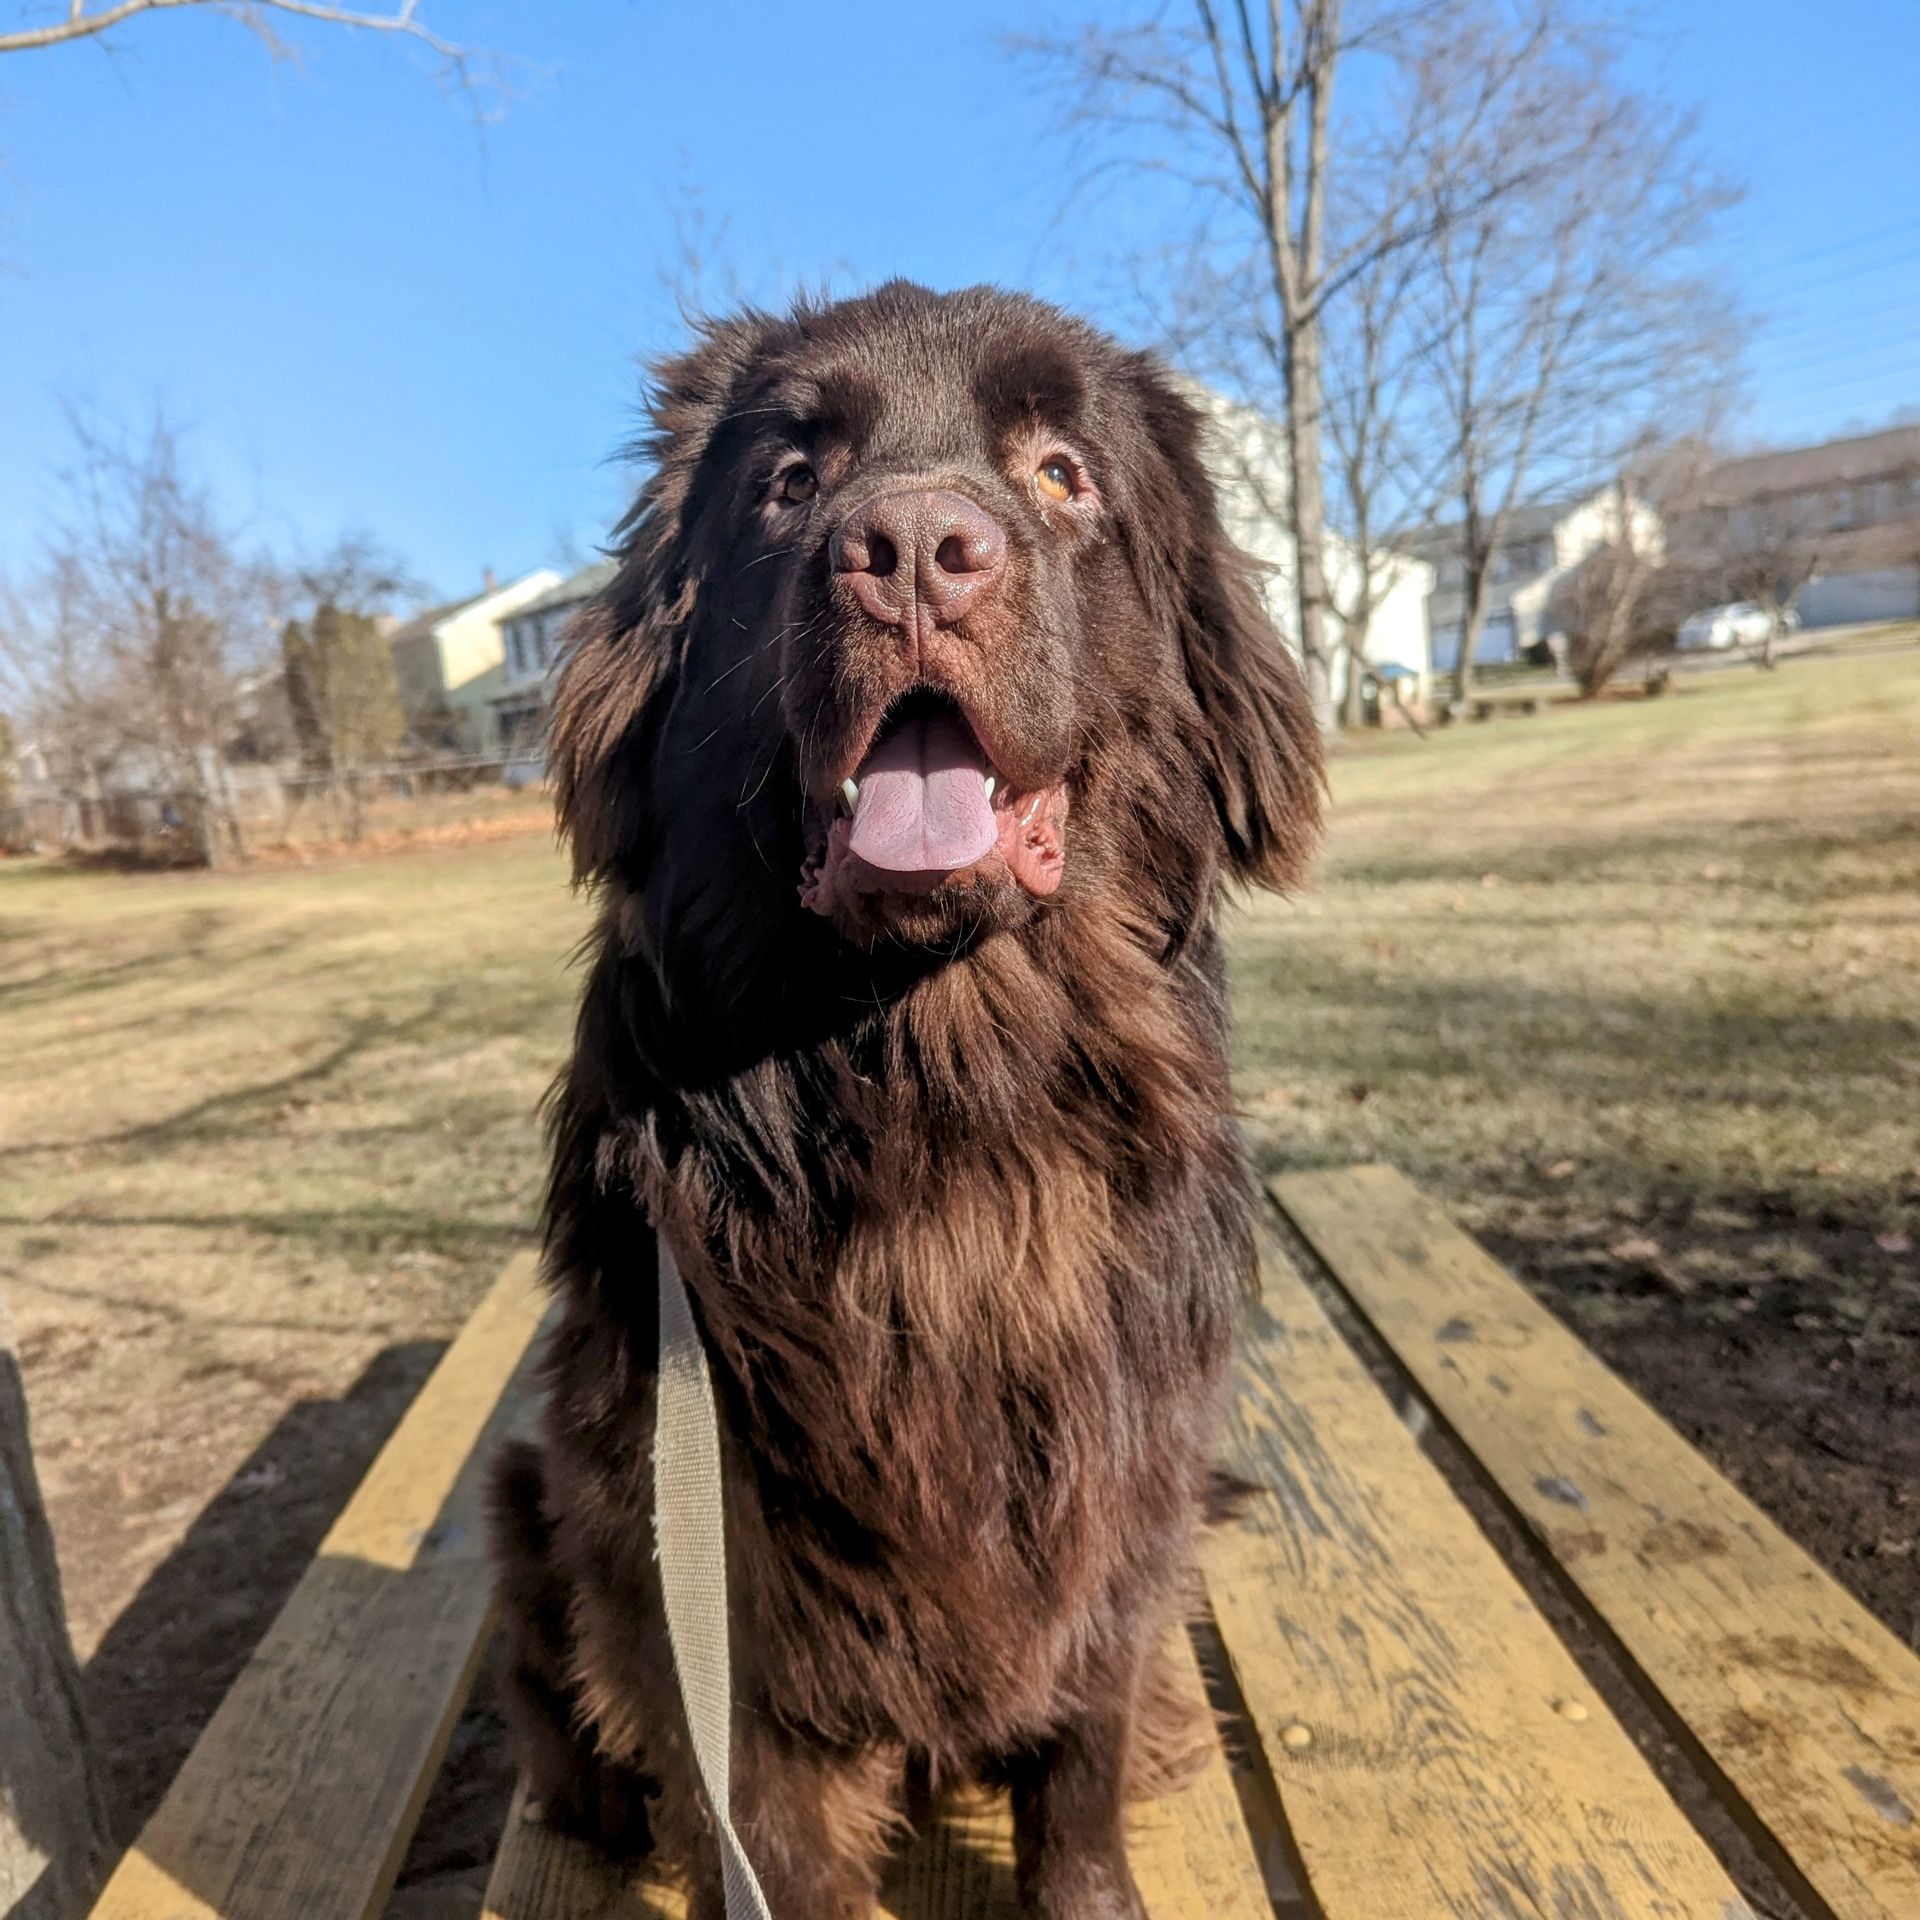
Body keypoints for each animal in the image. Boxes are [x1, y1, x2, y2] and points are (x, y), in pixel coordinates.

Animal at [491, 278, 1320, 1912]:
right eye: (788, 481)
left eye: (1063, 473)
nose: (917, 549)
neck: (944, 1102)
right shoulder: (706, 1567)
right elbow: (771, 1837)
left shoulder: (1122, 1494)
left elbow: (1082, 1759)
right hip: (532, 1492)